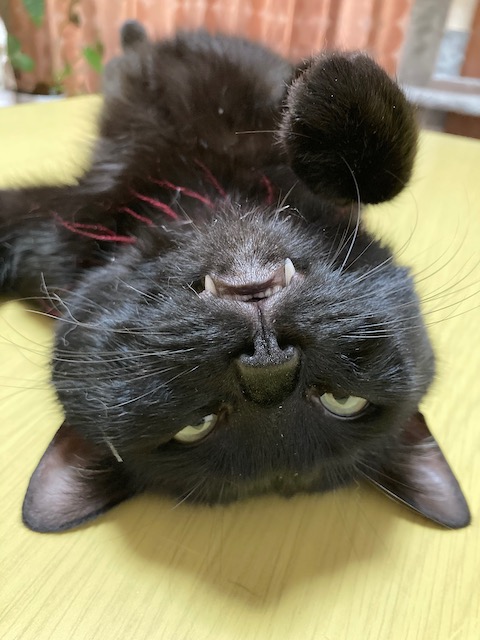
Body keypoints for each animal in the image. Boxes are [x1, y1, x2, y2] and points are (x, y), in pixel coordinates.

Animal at [0, 21, 470, 532]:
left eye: (343, 401)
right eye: (195, 426)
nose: (269, 363)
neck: (212, 194)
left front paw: (333, 90)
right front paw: (335, 96)